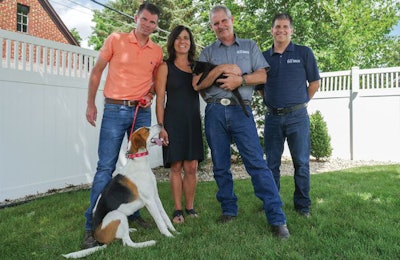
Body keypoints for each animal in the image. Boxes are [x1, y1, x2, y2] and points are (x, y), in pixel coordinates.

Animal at [64, 124, 177, 258]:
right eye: (146, 130)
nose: (161, 124)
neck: (138, 163)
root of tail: (99, 240)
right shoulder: (149, 200)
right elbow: (160, 221)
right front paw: (169, 236)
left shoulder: (155, 197)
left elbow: (165, 217)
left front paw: (175, 231)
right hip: (117, 215)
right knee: (127, 243)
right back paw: (148, 243)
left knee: (124, 237)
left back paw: (130, 229)